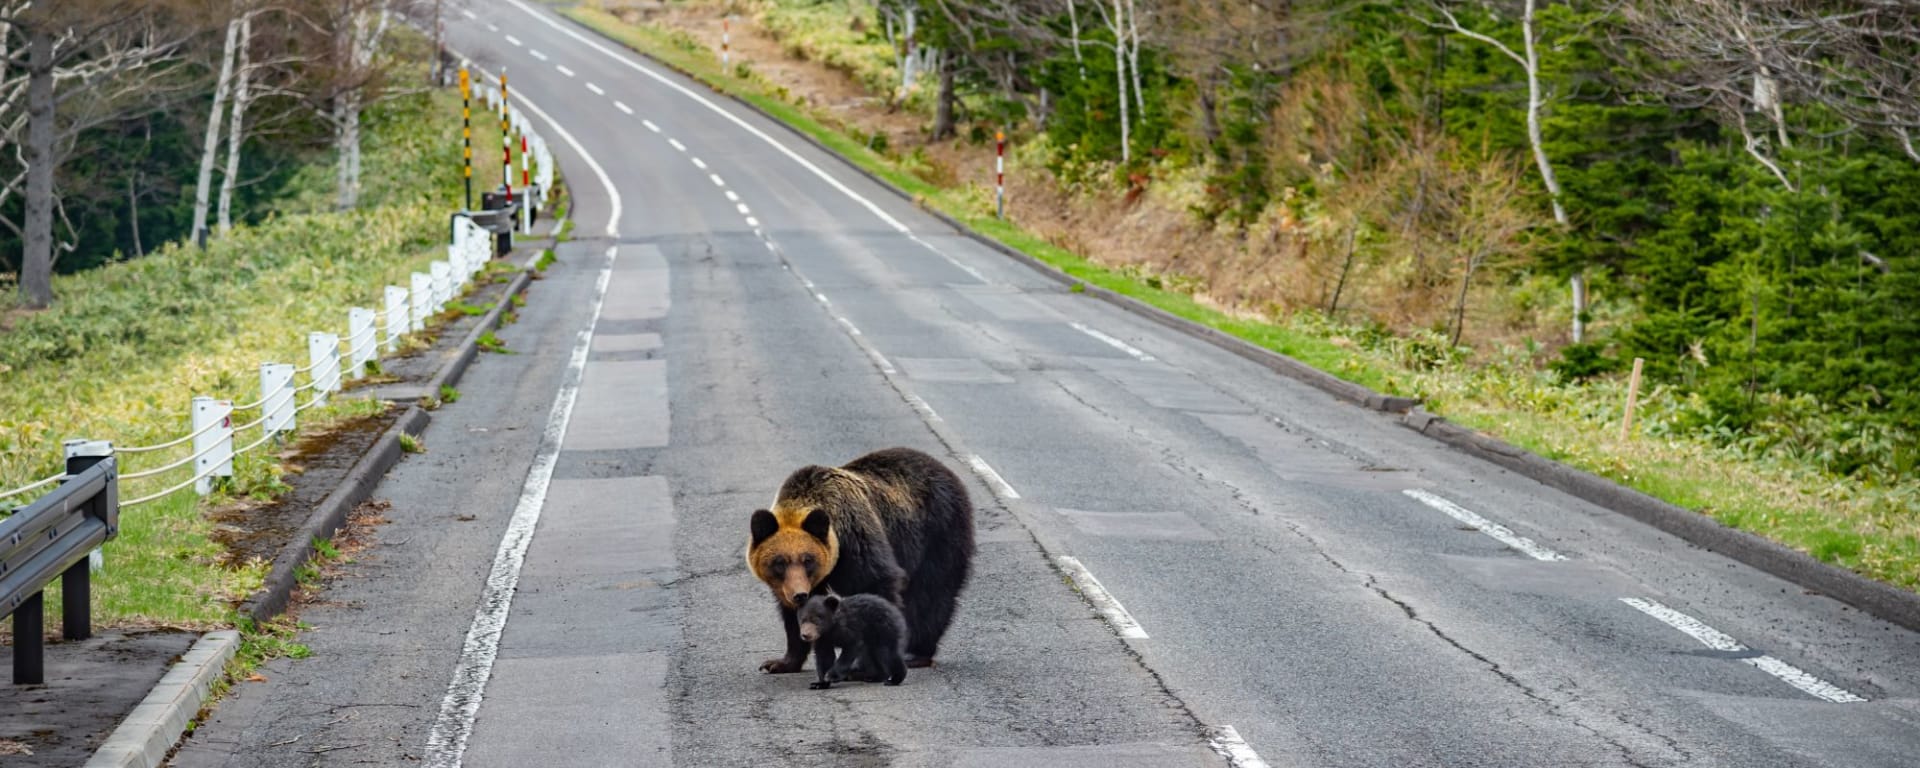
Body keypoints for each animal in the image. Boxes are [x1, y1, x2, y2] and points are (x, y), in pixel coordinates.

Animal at [747, 446, 975, 674]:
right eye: (779, 562)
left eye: (808, 560)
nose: (799, 594)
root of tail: (943, 468)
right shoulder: (789, 585)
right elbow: (793, 616)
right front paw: (780, 663)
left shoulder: (856, 540)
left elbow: (876, 586)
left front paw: (865, 661)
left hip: (938, 531)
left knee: (931, 592)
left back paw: (915, 653)